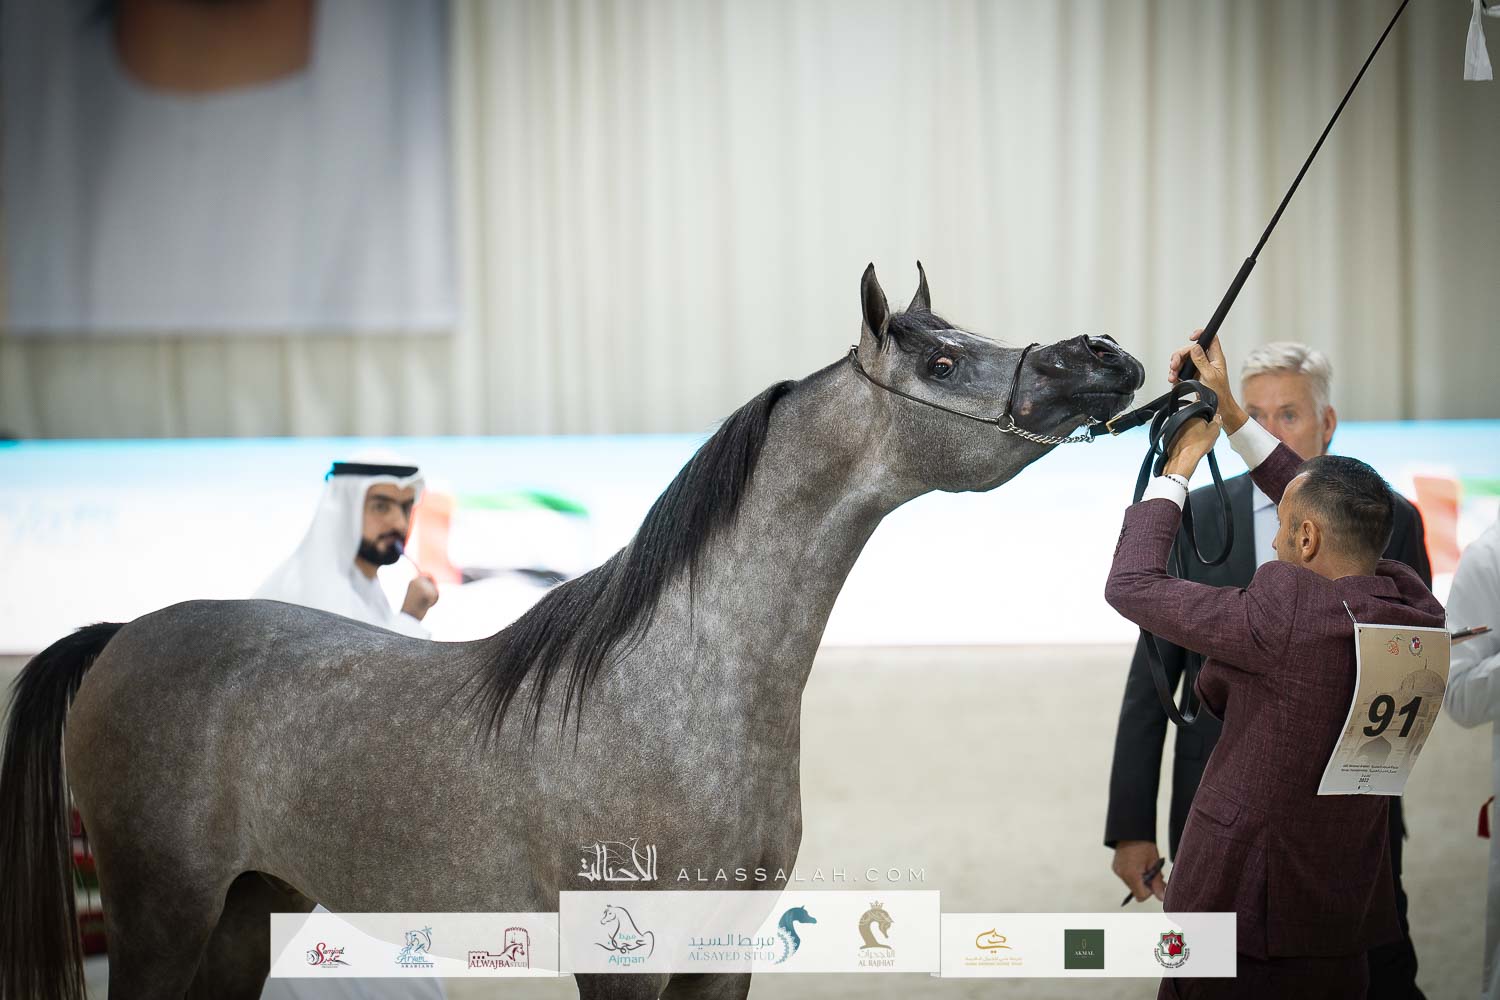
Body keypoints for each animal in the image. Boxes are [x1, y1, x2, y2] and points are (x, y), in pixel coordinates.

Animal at [0, 262, 1143, 1000]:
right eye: (941, 361)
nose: (1106, 354)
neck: (673, 695)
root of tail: (120, 637)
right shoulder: (617, 958)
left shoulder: (722, 957)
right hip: (162, 913)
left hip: (243, 913)